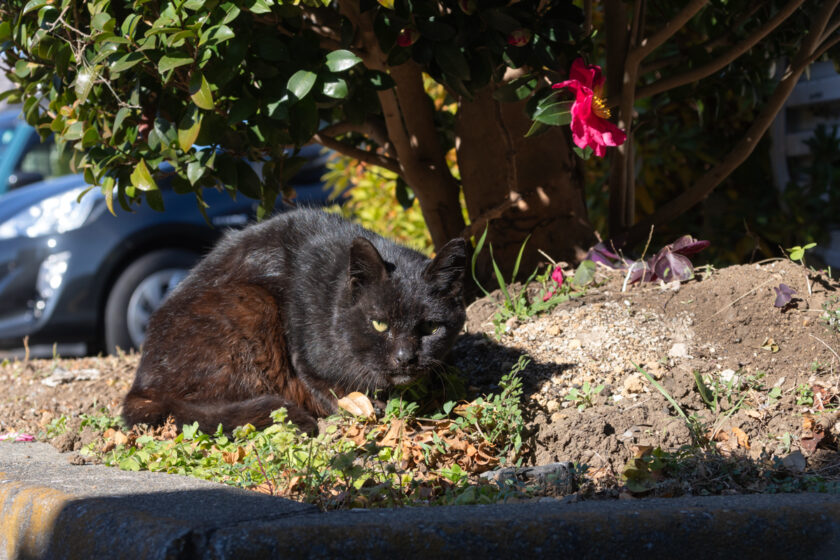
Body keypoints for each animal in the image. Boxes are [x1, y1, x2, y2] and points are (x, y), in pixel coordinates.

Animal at [122, 209, 470, 434]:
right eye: (380, 325)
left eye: (429, 328)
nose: (405, 358)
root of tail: (141, 383)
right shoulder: (303, 352)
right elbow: (326, 389)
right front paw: (366, 408)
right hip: (252, 302)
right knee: (189, 408)